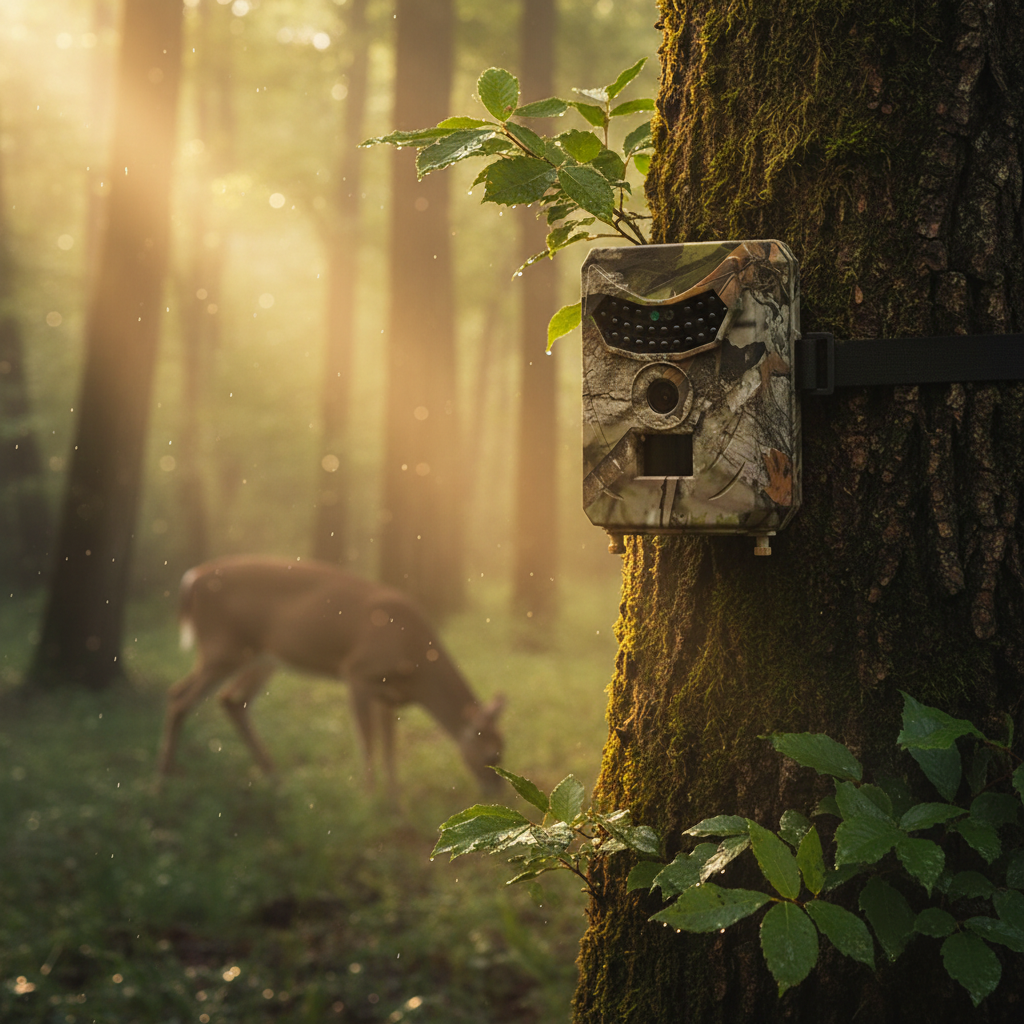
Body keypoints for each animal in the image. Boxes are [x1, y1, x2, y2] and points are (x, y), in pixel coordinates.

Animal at [157, 556, 505, 794]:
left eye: (502, 747)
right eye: (493, 754)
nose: (498, 793)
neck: (416, 662)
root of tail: (192, 579)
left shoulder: (388, 694)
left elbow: (390, 749)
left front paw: (396, 804)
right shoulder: (357, 672)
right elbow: (367, 742)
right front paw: (370, 800)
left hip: (261, 657)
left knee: (228, 699)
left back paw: (274, 776)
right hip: (224, 647)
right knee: (180, 697)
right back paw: (165, 778)